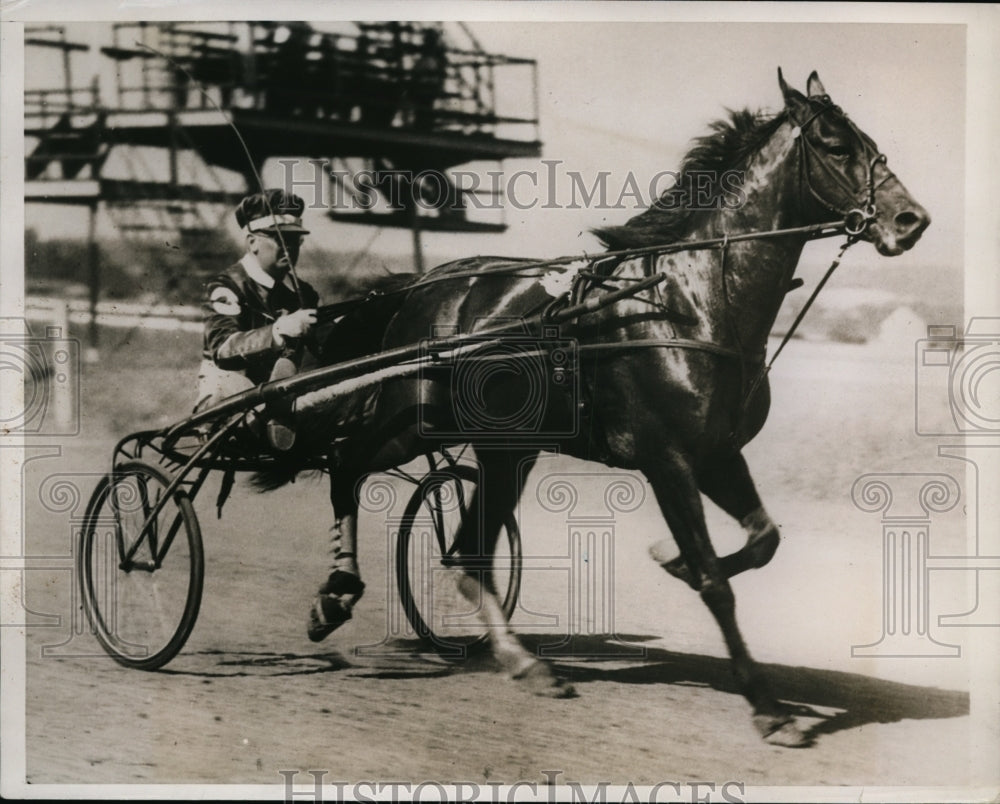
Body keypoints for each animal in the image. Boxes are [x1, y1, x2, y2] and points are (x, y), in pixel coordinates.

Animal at [280, 69, 928, 748]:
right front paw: (768, 708)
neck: (687, 301)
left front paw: (671, 560)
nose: (912, 220)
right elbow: (716, 582)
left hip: (507, 447)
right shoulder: (667, 457)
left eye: (871, 144)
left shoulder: (718, 453)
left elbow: (762, 541)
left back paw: (523, 663)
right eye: (836, 146)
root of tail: (425, 285)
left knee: (467, 550)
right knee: (347, 465)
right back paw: (336, 598)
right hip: (415, 423)